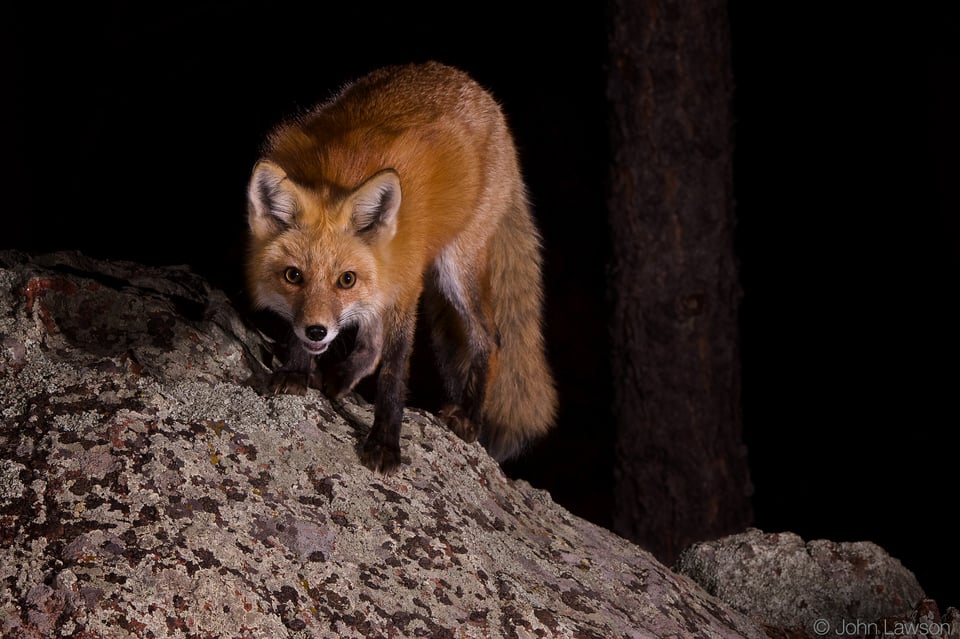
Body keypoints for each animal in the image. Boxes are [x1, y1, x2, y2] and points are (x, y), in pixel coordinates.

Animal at [246, 62, 556, 472]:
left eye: (346, 280)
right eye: (293, 276)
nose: (316, 331)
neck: (338, 175)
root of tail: (481, 93)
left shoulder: (406, 289)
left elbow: (393, 376)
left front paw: (385, 443)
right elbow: (365, 347)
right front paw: (297, 370)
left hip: (456, 270)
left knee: (488, 338)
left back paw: (469, 417)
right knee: (372, 343)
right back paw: (339, 378)